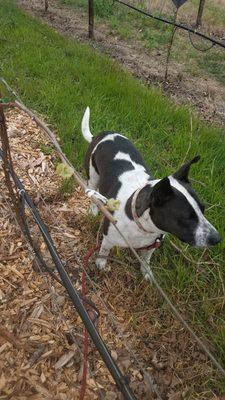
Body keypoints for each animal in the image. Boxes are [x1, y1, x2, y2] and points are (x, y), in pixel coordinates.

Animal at [81, 108, 221, 280]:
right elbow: (104, 250)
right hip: (93, 176)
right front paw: (101, 263)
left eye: (203, 209)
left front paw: (146, 271)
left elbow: (146, 259)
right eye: (187, 218)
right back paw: (94, 209)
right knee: (93, 190)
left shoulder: (152, 244)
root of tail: (101, 135)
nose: (217, 238)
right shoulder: (109, 237)